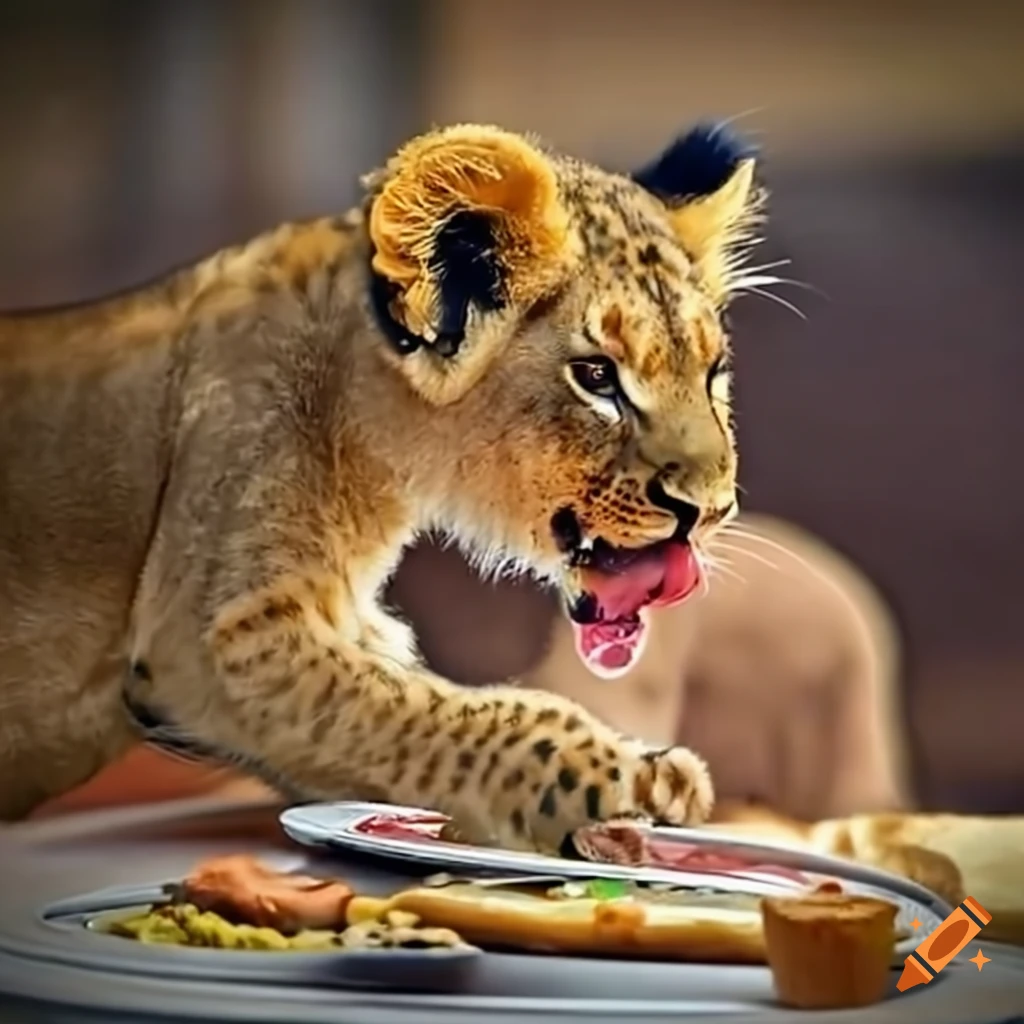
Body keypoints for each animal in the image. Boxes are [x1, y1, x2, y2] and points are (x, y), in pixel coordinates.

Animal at [0, 121, 766, 850]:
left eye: (711, 373)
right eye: (598, 377)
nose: (707, 511)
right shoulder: (209, 636)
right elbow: (445, 714)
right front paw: (620, 779)